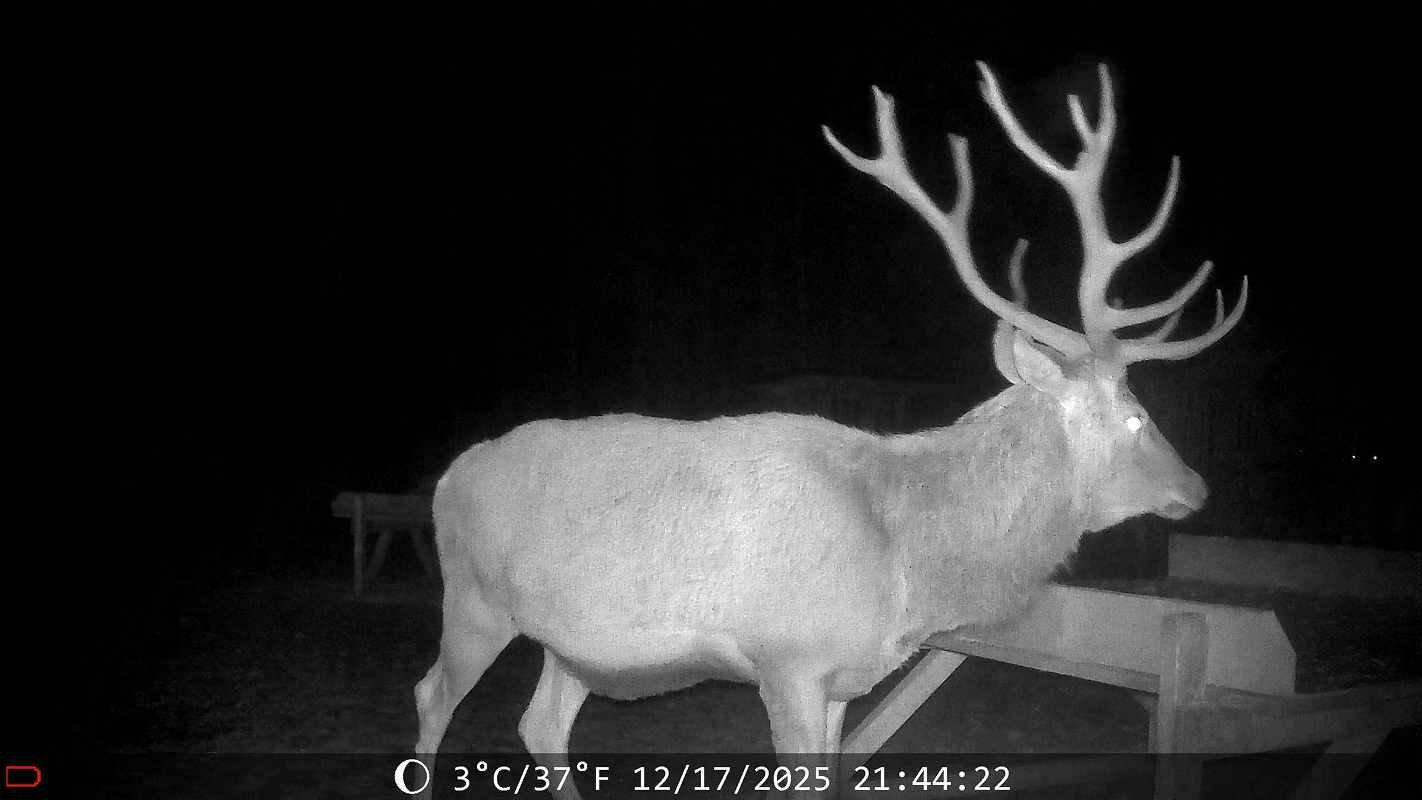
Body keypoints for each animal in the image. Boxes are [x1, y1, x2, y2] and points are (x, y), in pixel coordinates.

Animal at [413, 62, 1246, 799]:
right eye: (1138, 416)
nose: (1198, 486)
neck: (905, 561)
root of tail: (448, 476)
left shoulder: (846, 675)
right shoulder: (787, 657)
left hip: (577, 645)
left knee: (541, 724)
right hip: (474, 599)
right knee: (431, 696)